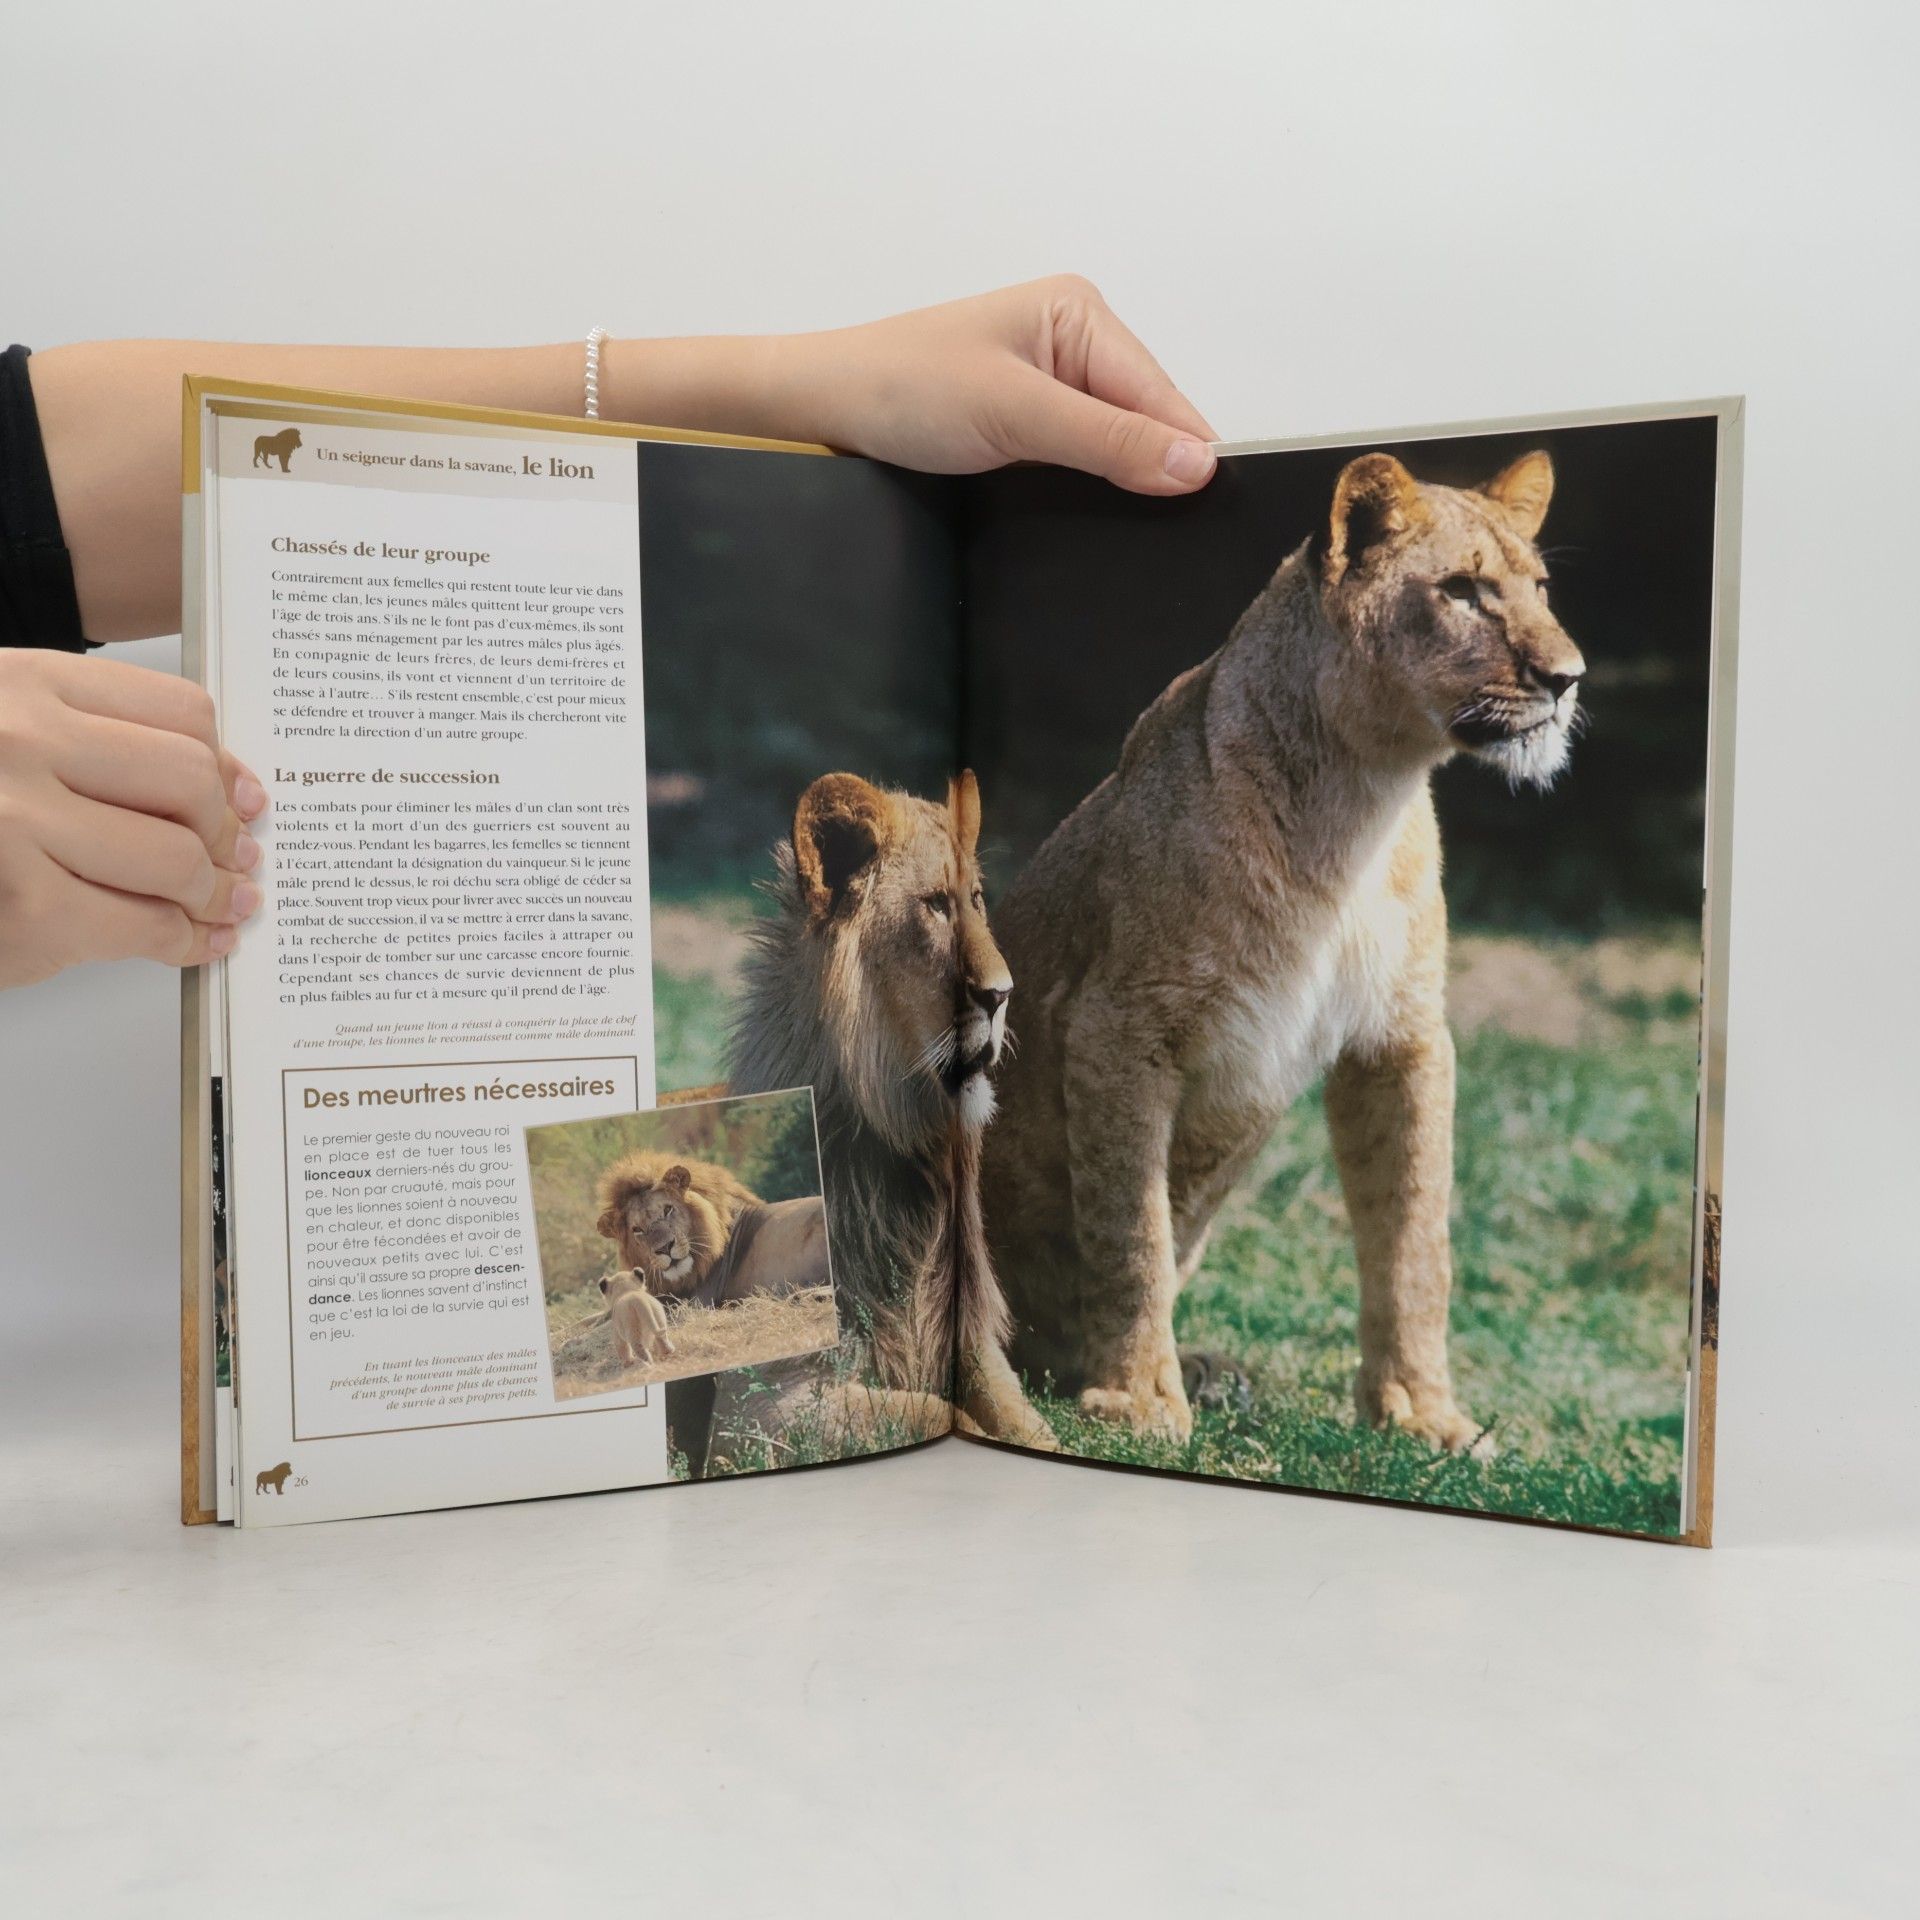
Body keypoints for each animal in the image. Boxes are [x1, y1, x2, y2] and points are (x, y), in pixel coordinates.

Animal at [727, 770, 1056, 1450]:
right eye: (935, 905)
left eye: (977, 900)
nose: (1004, 994)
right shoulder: (759, 1407)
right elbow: (937, 1412)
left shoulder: (974, 1347)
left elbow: (1031, 1427)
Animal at [984, 450, 1584, 1450]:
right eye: (1462, 592)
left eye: (1539, 589)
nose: (1569, 677)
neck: (1360, 800)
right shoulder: (1117, 1025)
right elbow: (1130, 1227)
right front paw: (1137, 1400)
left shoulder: (1404, 1039)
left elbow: (1414, 1233)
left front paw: (1425, 1414)